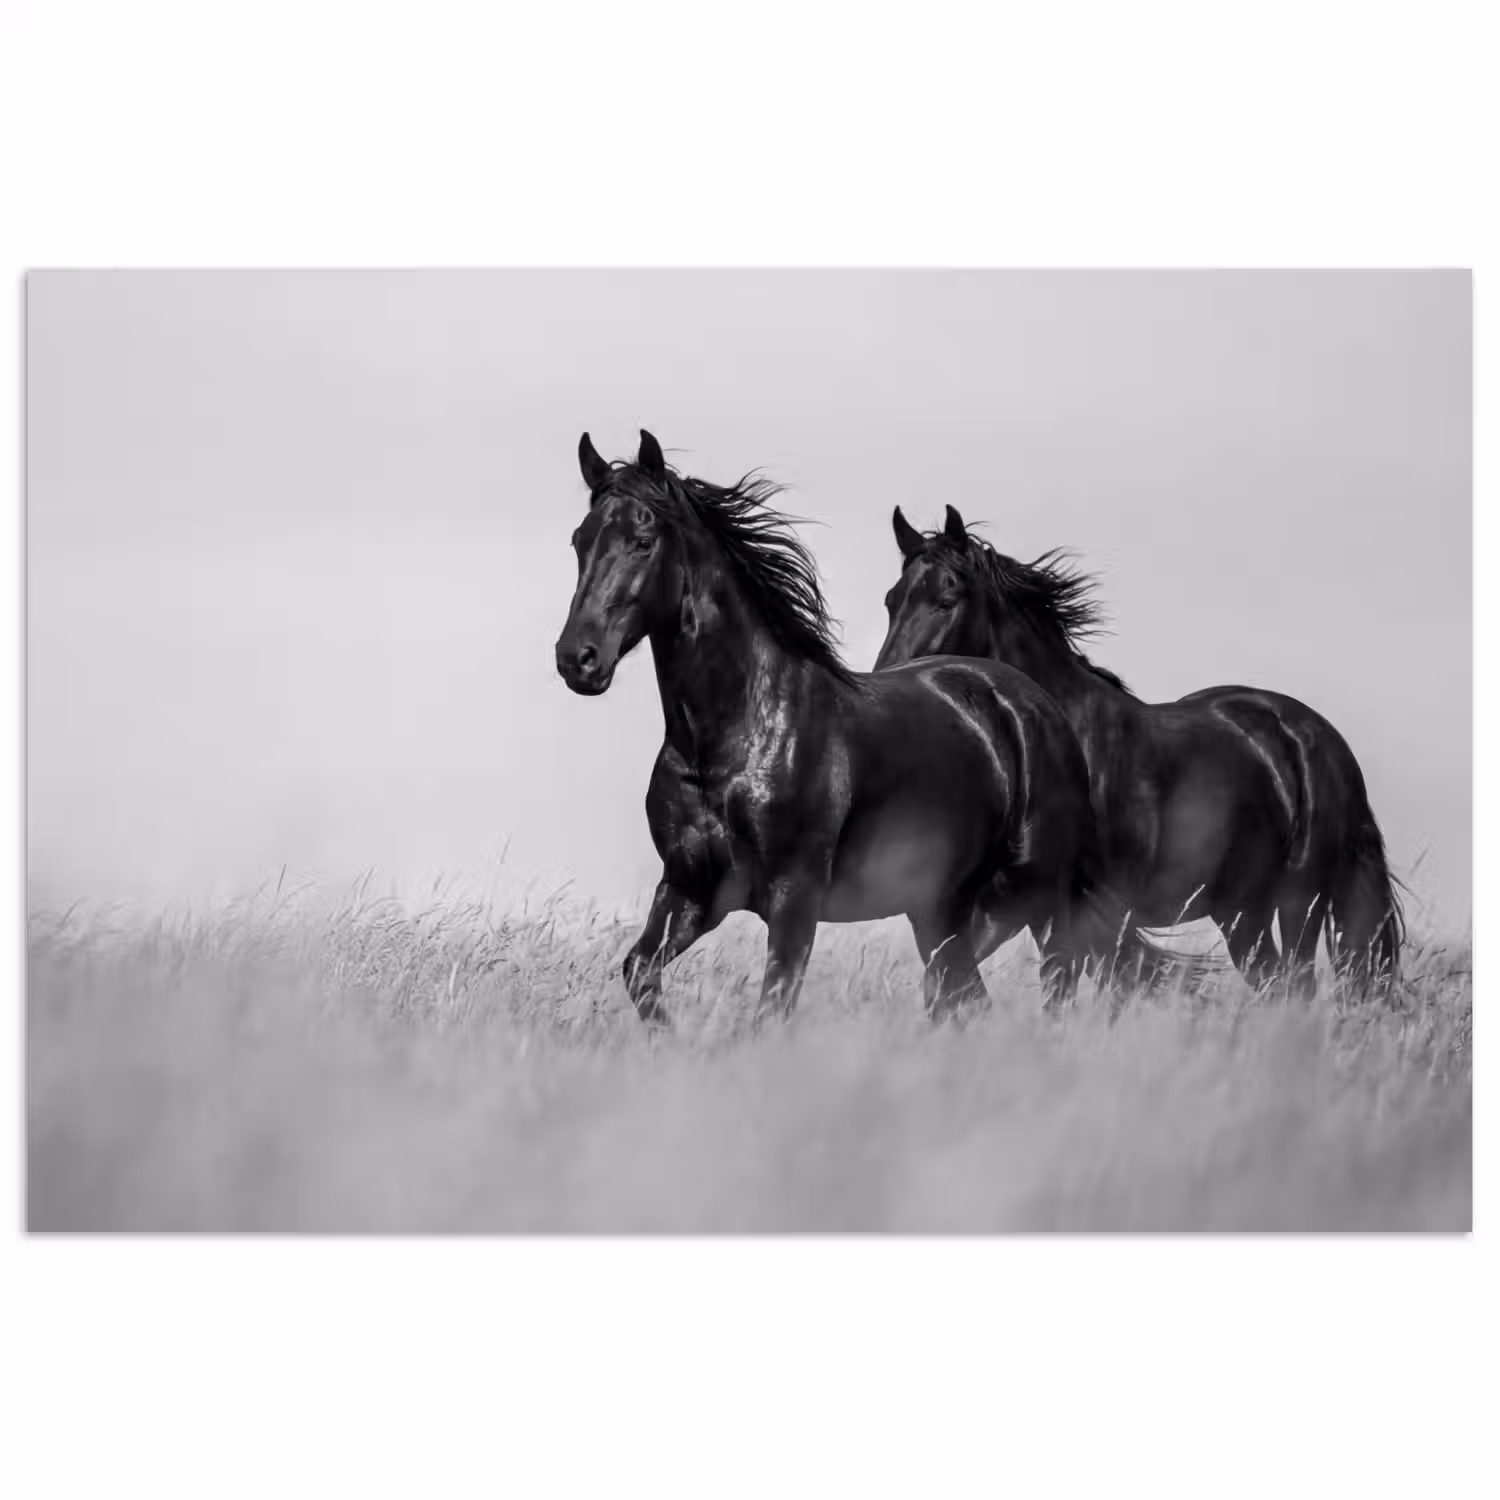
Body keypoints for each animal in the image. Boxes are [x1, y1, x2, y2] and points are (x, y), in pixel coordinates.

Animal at [554, 431, 1160, 1027]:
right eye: (580, 540)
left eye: (643, 540)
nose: (576, 659)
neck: (731, 740)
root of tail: (1037, 707)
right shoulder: (689, 889)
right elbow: (639, 972)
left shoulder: (794, 896)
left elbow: (772, 1010)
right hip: (941, 909)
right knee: (961, 995)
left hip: (1039, 897)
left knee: (1054, 989)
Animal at [874, 503, 1405, 997]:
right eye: (891, 600)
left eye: (947, 598)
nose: (891, 684)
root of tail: (1319, 737)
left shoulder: (1077, 909)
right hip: (1241, 910)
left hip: (1299, 902)